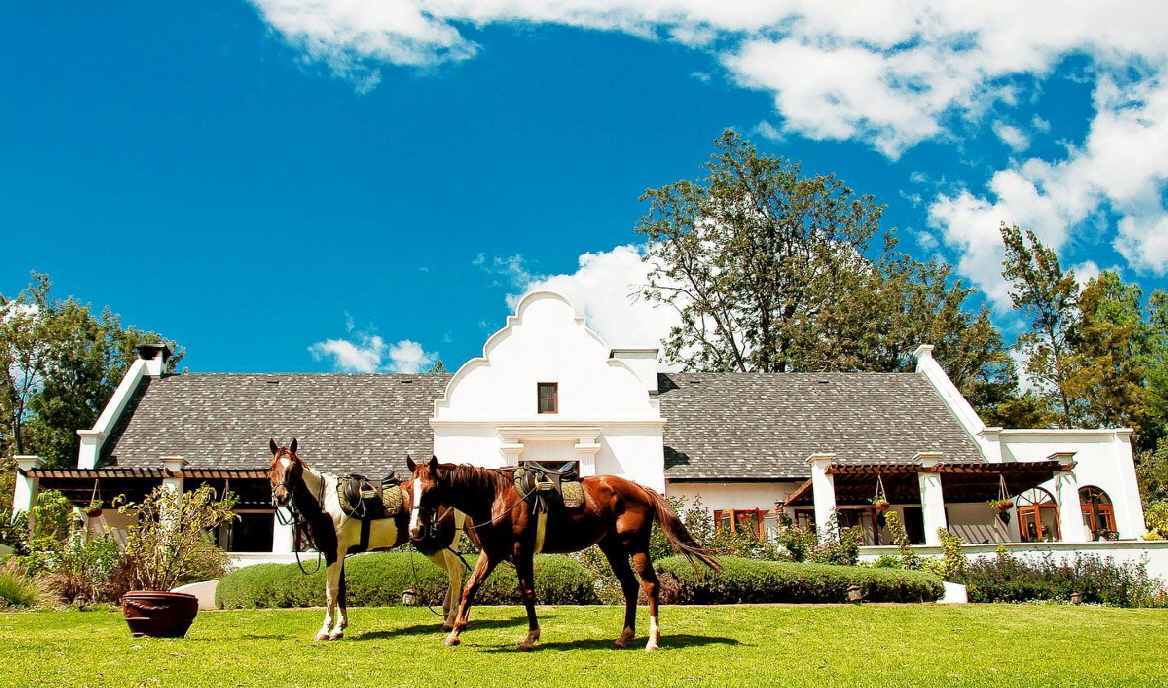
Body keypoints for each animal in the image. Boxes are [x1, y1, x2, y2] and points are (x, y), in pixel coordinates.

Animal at [408, 455, 719, 649]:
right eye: (410, 488)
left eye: (432, 490)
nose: (415, 529)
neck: (495, 496)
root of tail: (640, 489)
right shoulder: (493, 552)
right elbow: (470, 587)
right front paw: (455, 633)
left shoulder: (521, 551)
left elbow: (527, 592)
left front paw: (531, 636)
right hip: (611, 547)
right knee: (630, 586)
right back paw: (623, 637)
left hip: (636, 546)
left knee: (650, 585)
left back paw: (652, 641)